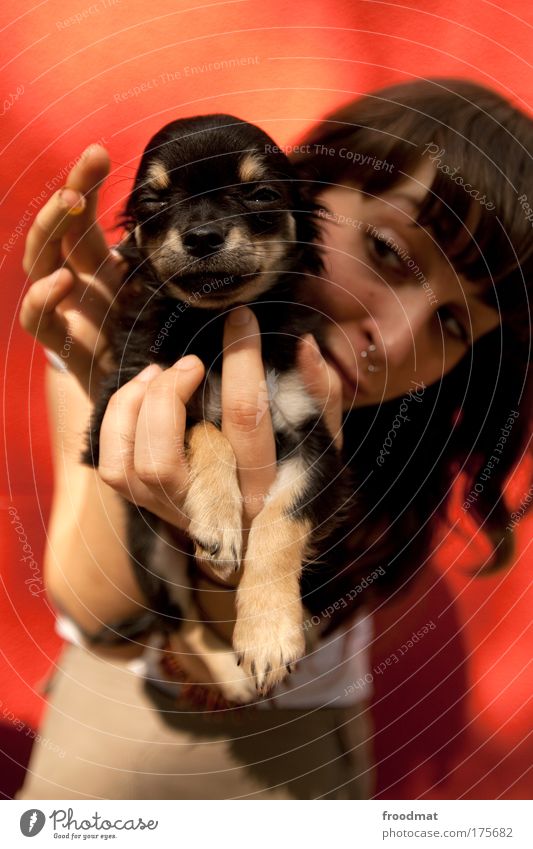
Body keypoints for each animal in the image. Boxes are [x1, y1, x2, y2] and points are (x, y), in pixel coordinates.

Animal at [84, 114, 354, 696]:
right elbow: (203, 427)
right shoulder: (118, 410)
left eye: (261, 194)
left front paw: (268, 631)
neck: (215, 326)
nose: (202, 236)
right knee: (177, 619)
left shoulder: (315, 441)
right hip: (153, 552)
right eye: (154, 202)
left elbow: (281, 519)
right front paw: (217, 516)